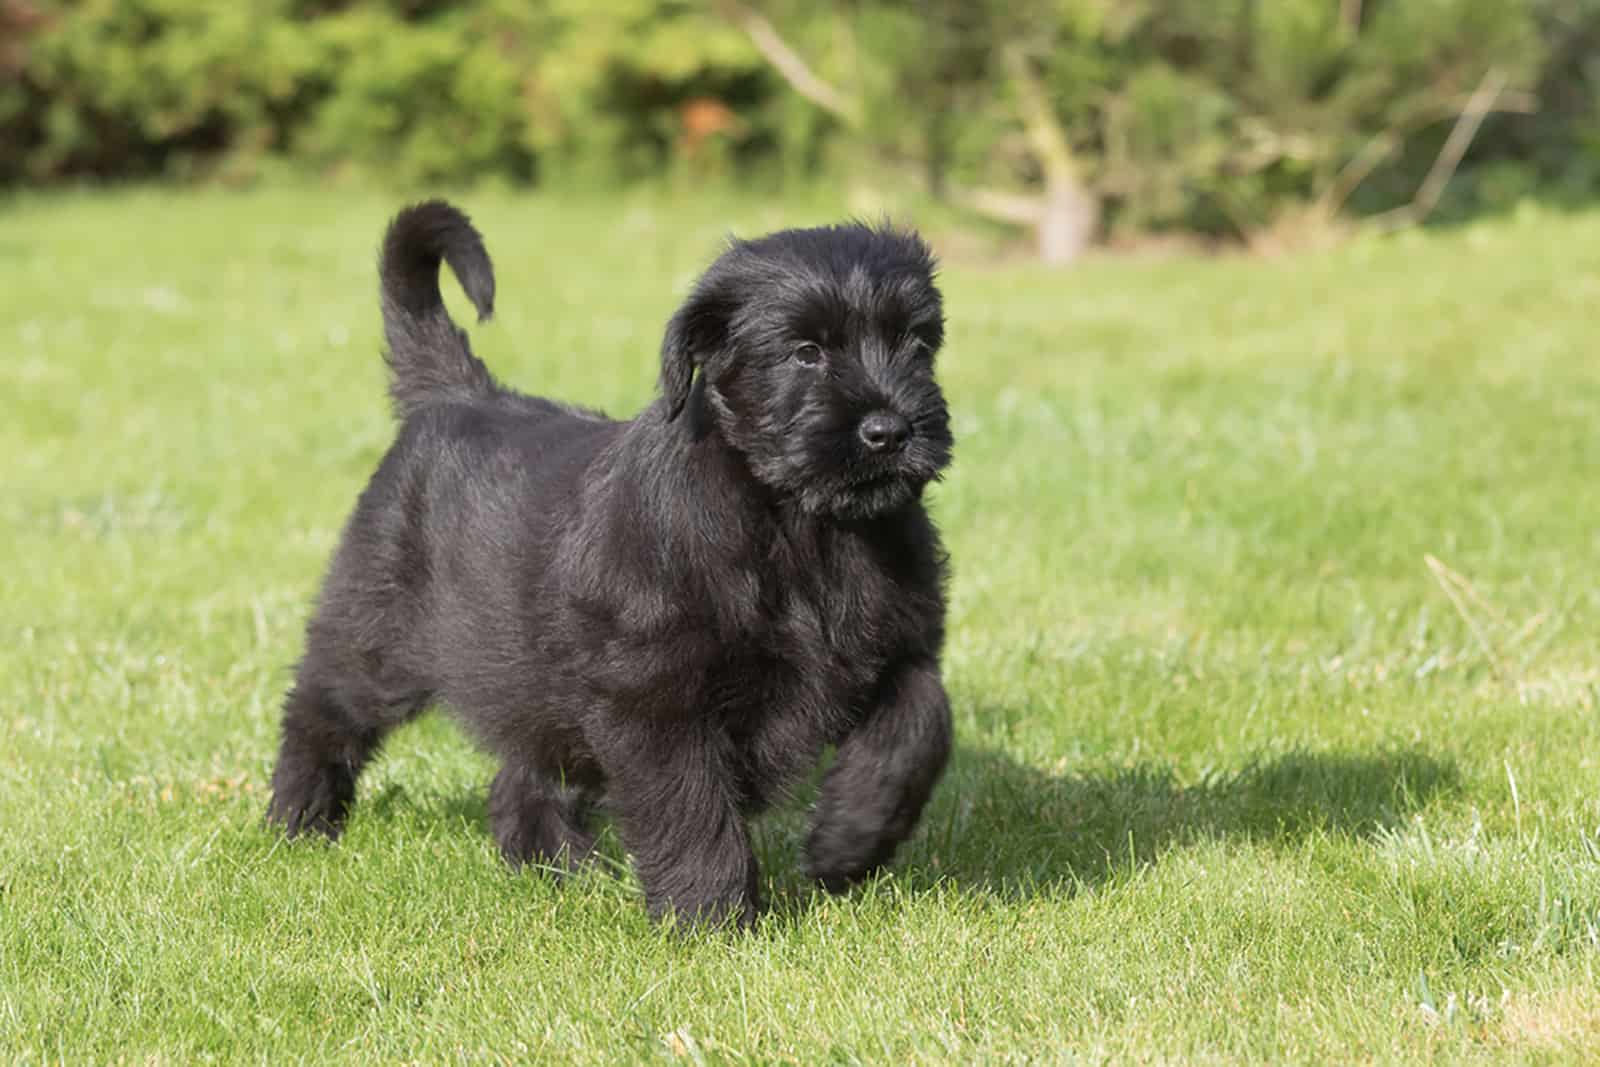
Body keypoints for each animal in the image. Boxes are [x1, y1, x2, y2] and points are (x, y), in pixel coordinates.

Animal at [268, 199, 953, 927]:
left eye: (917, 342)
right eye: (806, 352)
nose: (890, 431)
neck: (803, 526)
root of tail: (455, 394)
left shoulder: (898, 645)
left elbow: (920, 725)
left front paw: (846, 841)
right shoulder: (654, 695)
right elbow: (690, 806)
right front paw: (711, 918)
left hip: (533, 676)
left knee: (524, 776)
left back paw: (560, 869)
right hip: (378, 635)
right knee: (321, 709)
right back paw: (298, 821)